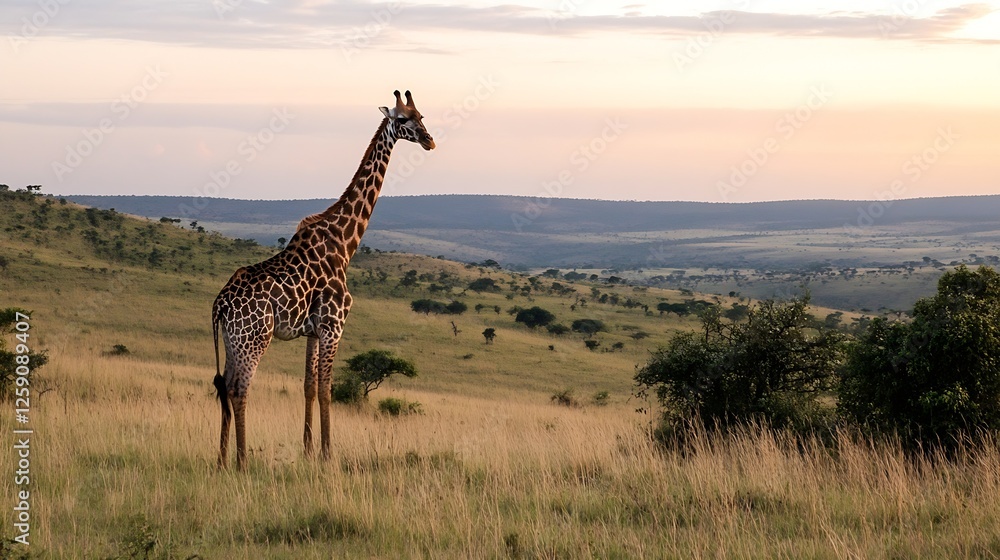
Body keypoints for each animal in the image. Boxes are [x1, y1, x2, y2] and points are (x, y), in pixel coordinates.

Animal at [212, 90, 435, 470]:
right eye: (403, 120)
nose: (430, 140)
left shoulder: (313, 331)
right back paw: (241, 463)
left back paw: (223, 460)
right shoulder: (334, 325)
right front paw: (328, 454)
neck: (345, 242)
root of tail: (219, 305)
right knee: (240, 390)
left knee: (225, 388)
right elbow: (327, 388)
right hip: (254, 339)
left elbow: (308, 386)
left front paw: (307, 450)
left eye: (422, 115)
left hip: (232, 341)